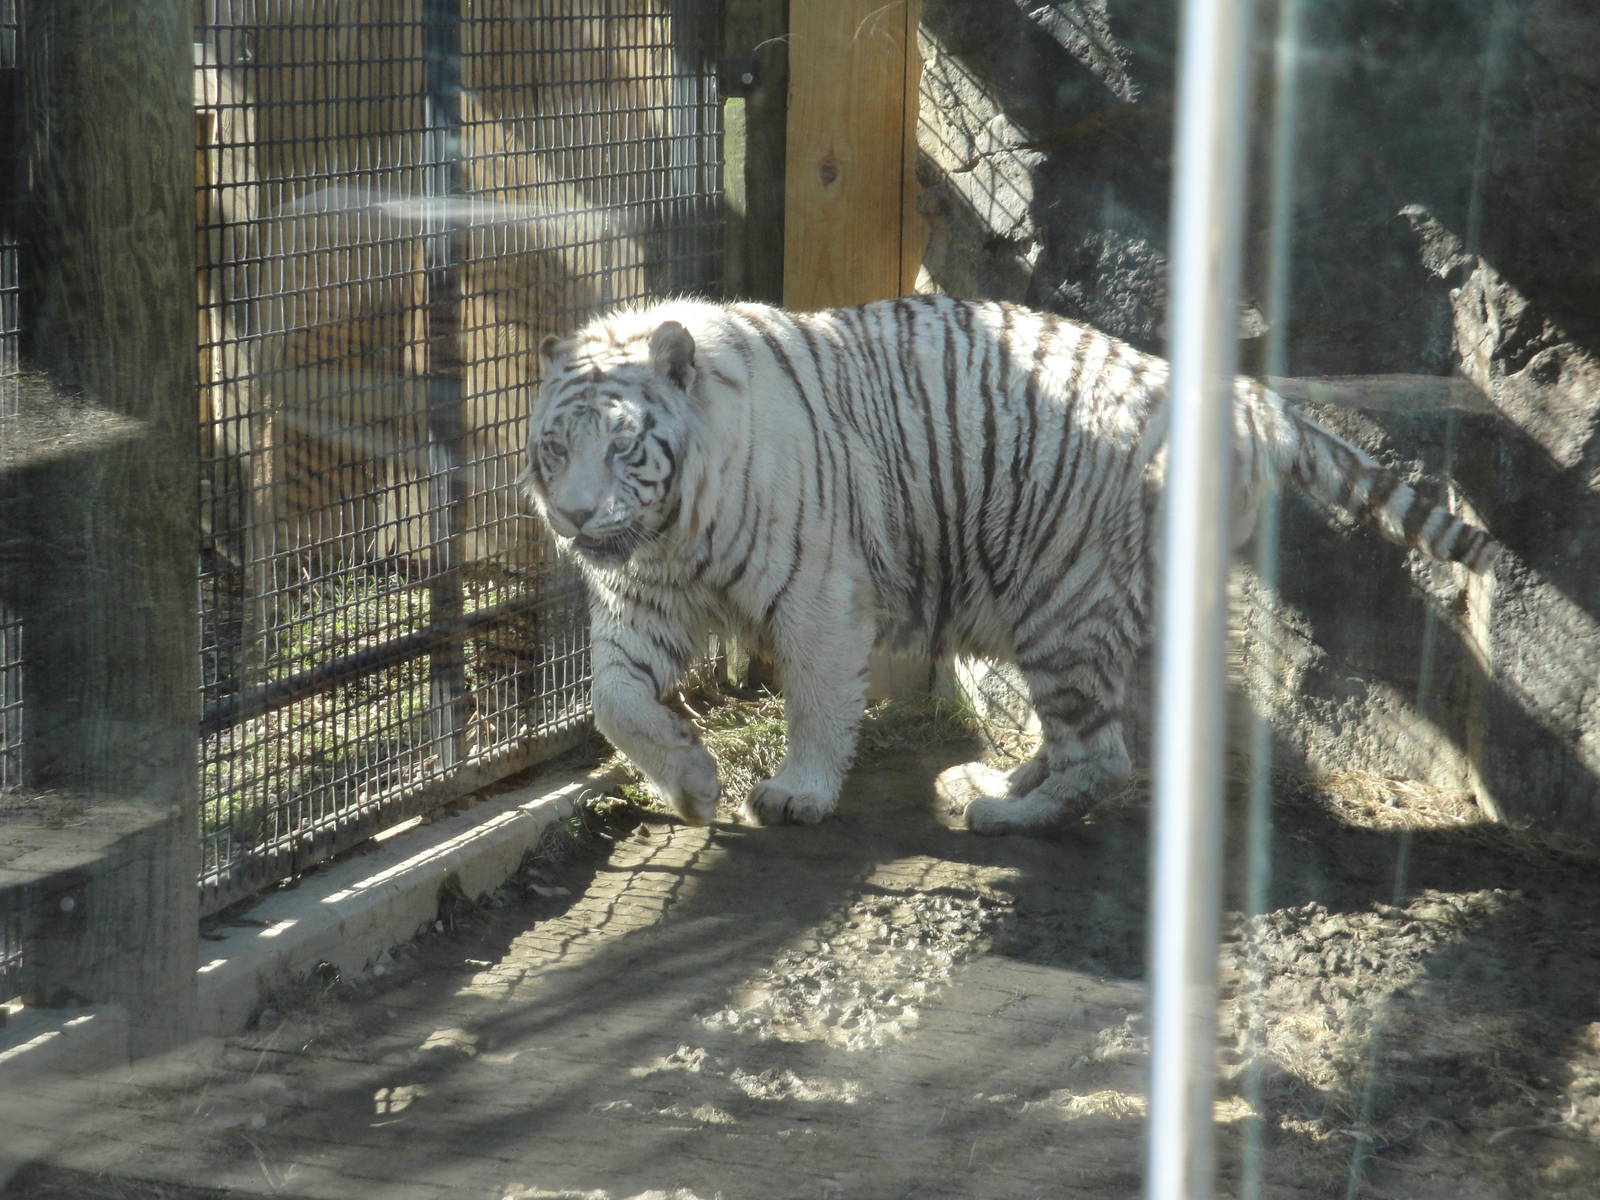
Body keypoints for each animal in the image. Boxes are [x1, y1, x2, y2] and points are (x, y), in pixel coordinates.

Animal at [522, 294, 1499, 836]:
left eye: (623, 448)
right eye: (554, 448)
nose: (572, 516)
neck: (671, 528)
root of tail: (1248, 400)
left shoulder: (820, 595)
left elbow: (818, 703)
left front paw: (797, 795)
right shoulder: (643, 596)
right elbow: (613, 702)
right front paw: (692, 785)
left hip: (1063, 600)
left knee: (1104, 756)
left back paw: (1003, 814)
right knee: (1084, 739)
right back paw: (994, 780)